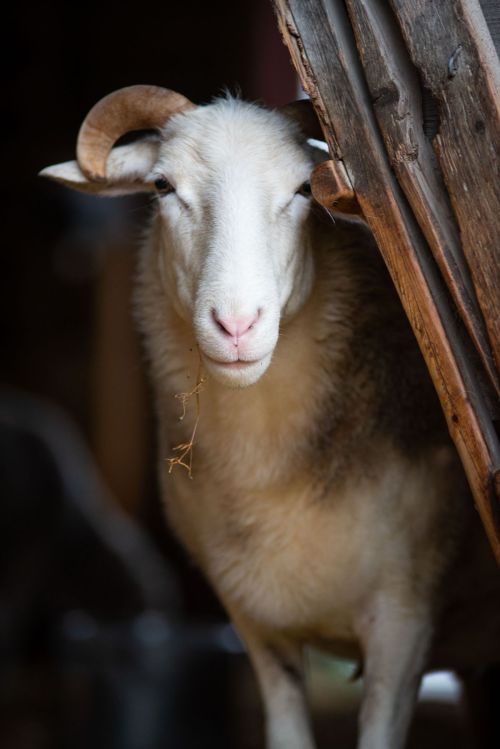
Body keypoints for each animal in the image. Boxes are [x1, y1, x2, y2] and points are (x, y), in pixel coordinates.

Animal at [41, 85, 500, 749]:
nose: (237, 326)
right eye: (162, 186)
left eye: (305, 189)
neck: (268, 477)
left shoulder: (405, 619)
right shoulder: (258, 629)